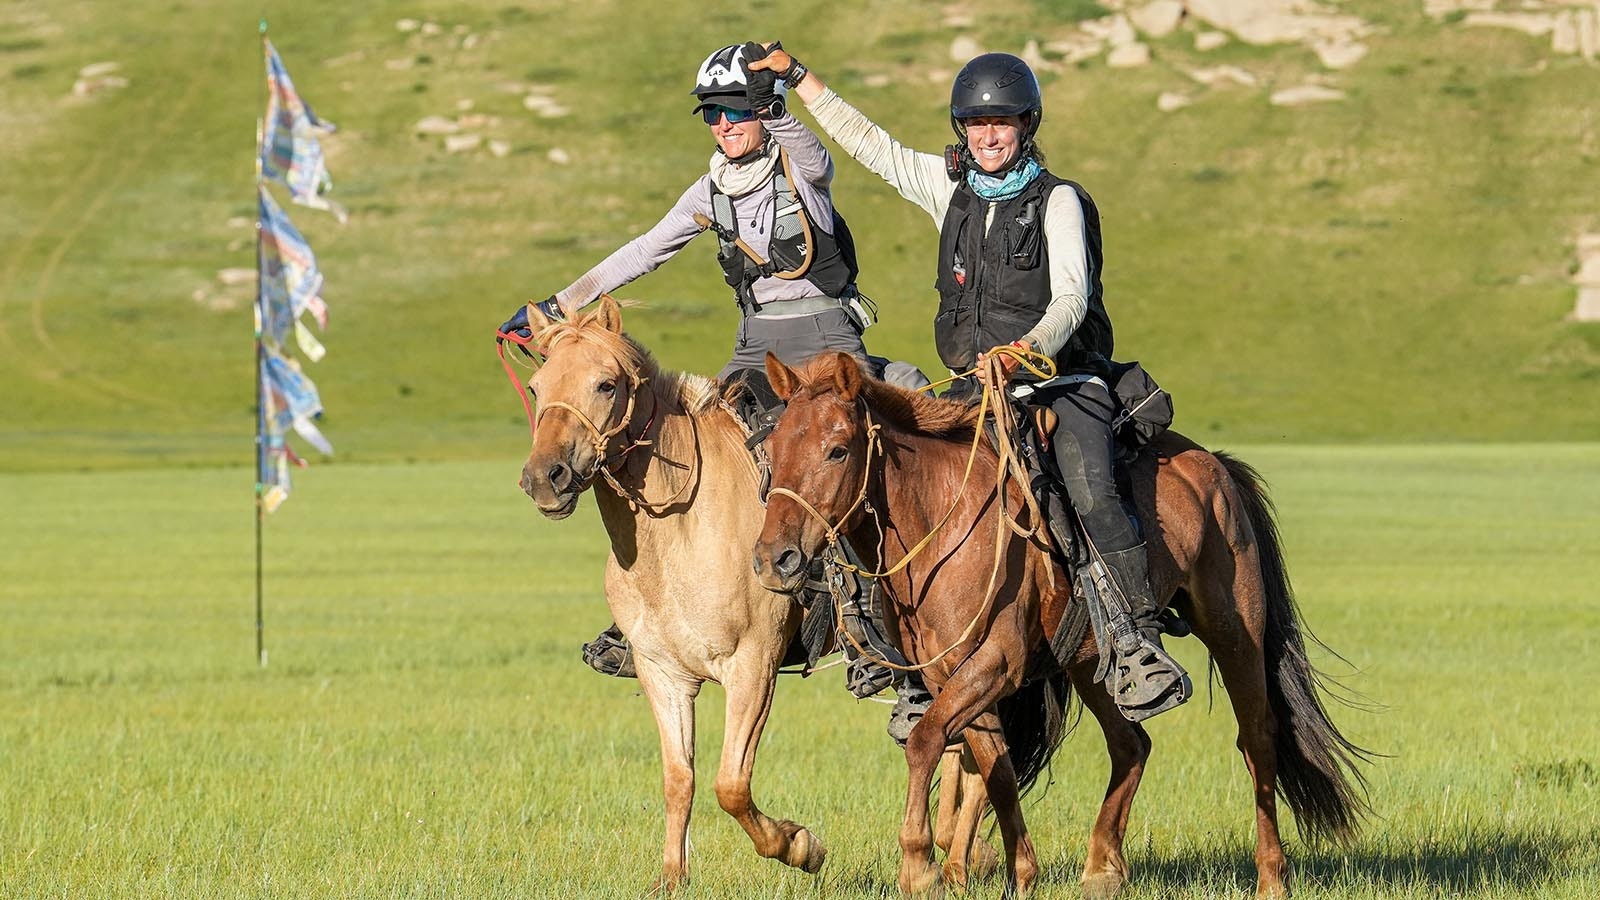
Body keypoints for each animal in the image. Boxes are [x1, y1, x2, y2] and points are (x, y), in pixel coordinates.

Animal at [518, 297, 825, 883]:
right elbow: (679, 780)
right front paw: (672, 877)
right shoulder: (663, 674)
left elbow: (731, 786)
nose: (546, 477)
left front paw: (801, 845)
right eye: (537, 386)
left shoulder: (754, 666)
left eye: (606, 384)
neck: (679, 532)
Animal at [748, 350, 1363, 896]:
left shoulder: (996, 663)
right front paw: (1021, 874)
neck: (943, 520)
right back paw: (1102, 868)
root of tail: (1213, 465)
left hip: (1235, 631)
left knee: (1257, 737)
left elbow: (926, 742)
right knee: (1131, 743)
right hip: (1090, 661)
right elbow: (993, 768)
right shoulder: (956, 676)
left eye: (836, 450)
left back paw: (1271, 876)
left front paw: (920, 868)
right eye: (772, 448)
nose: (774, 559)